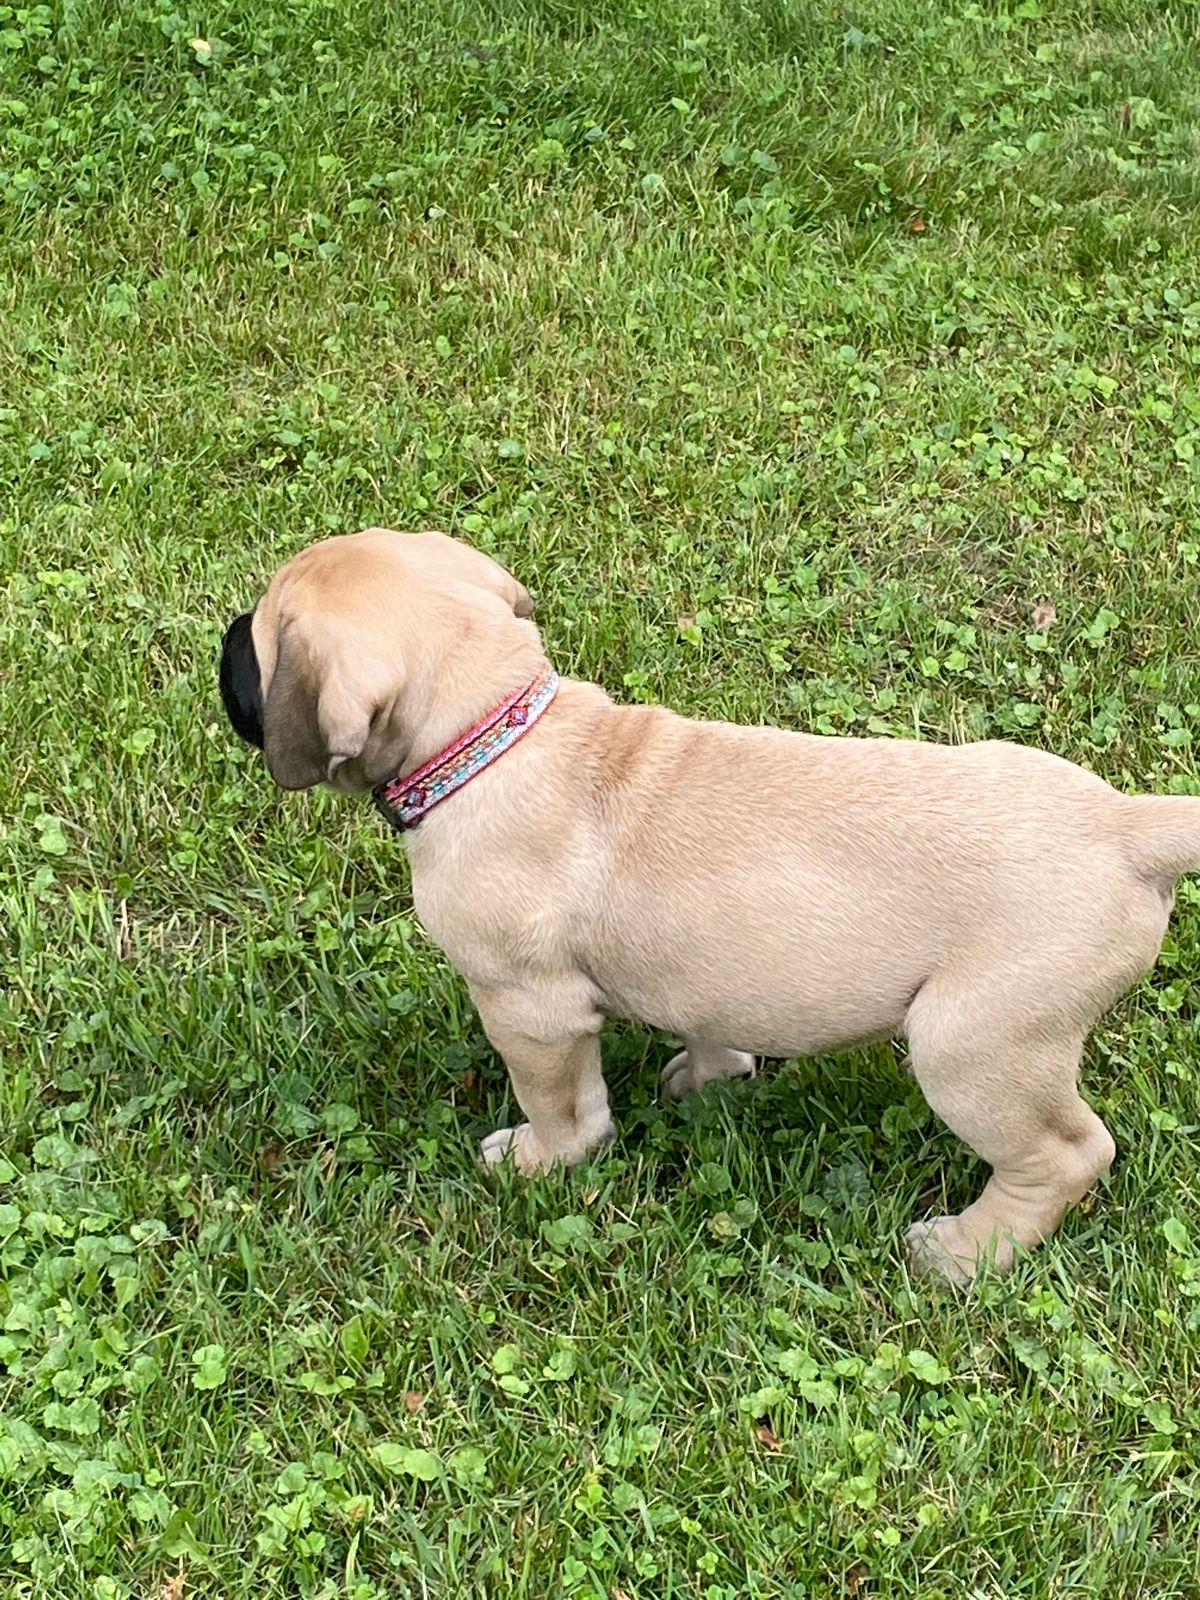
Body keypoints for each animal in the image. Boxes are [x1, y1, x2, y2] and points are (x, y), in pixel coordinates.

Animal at [219, 527, 1200, 1282]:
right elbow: (713, 1023)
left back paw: (965, 1254)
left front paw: (541, 1161)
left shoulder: (529, 1010)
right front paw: (711, 1077)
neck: (495, 734)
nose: (223, 636)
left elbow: (562, 1104)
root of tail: (1126, 827)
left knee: (1066, 1154)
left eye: (260, 644)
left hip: (974, 1048)